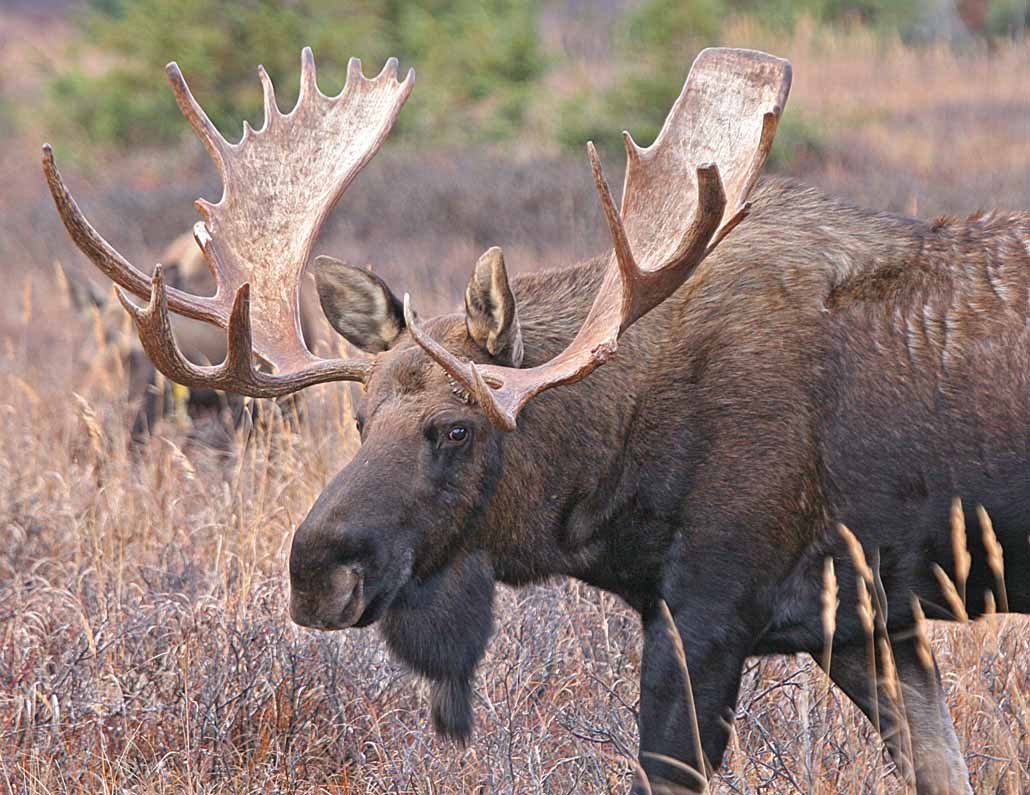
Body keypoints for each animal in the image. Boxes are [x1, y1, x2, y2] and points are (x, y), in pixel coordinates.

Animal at [44, 46, 1025, 790]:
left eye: (456, 428)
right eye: (359, 419)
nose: (316, 568)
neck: (615, 486)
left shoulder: (710, 609)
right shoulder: (869, 622)